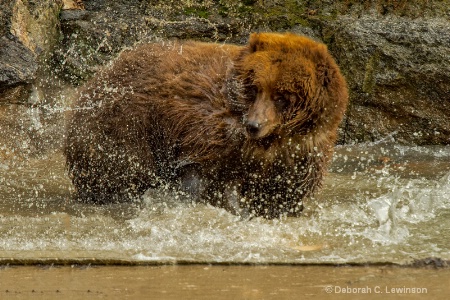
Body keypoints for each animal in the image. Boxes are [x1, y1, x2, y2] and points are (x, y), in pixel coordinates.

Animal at [65, 32, 348, 219]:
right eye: (256, 88)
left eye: (282, 95)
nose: (254, 124)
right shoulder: (209, 127)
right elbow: (207, 176)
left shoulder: (302, 154)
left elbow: (284, 192)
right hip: (126, 125)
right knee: (122, 169)